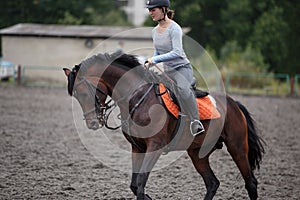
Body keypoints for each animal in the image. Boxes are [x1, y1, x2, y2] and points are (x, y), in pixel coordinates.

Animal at [62, 52, 264, 199]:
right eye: (76, 96)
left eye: (84, 93)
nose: (92, 123)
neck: (137, 97)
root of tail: (234, 104)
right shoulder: (137, 148)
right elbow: (135, 185)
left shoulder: (155, 146)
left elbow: (141, 183)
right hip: (198, 153)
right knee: (212, 183)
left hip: (237, 147)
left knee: (250, 182)